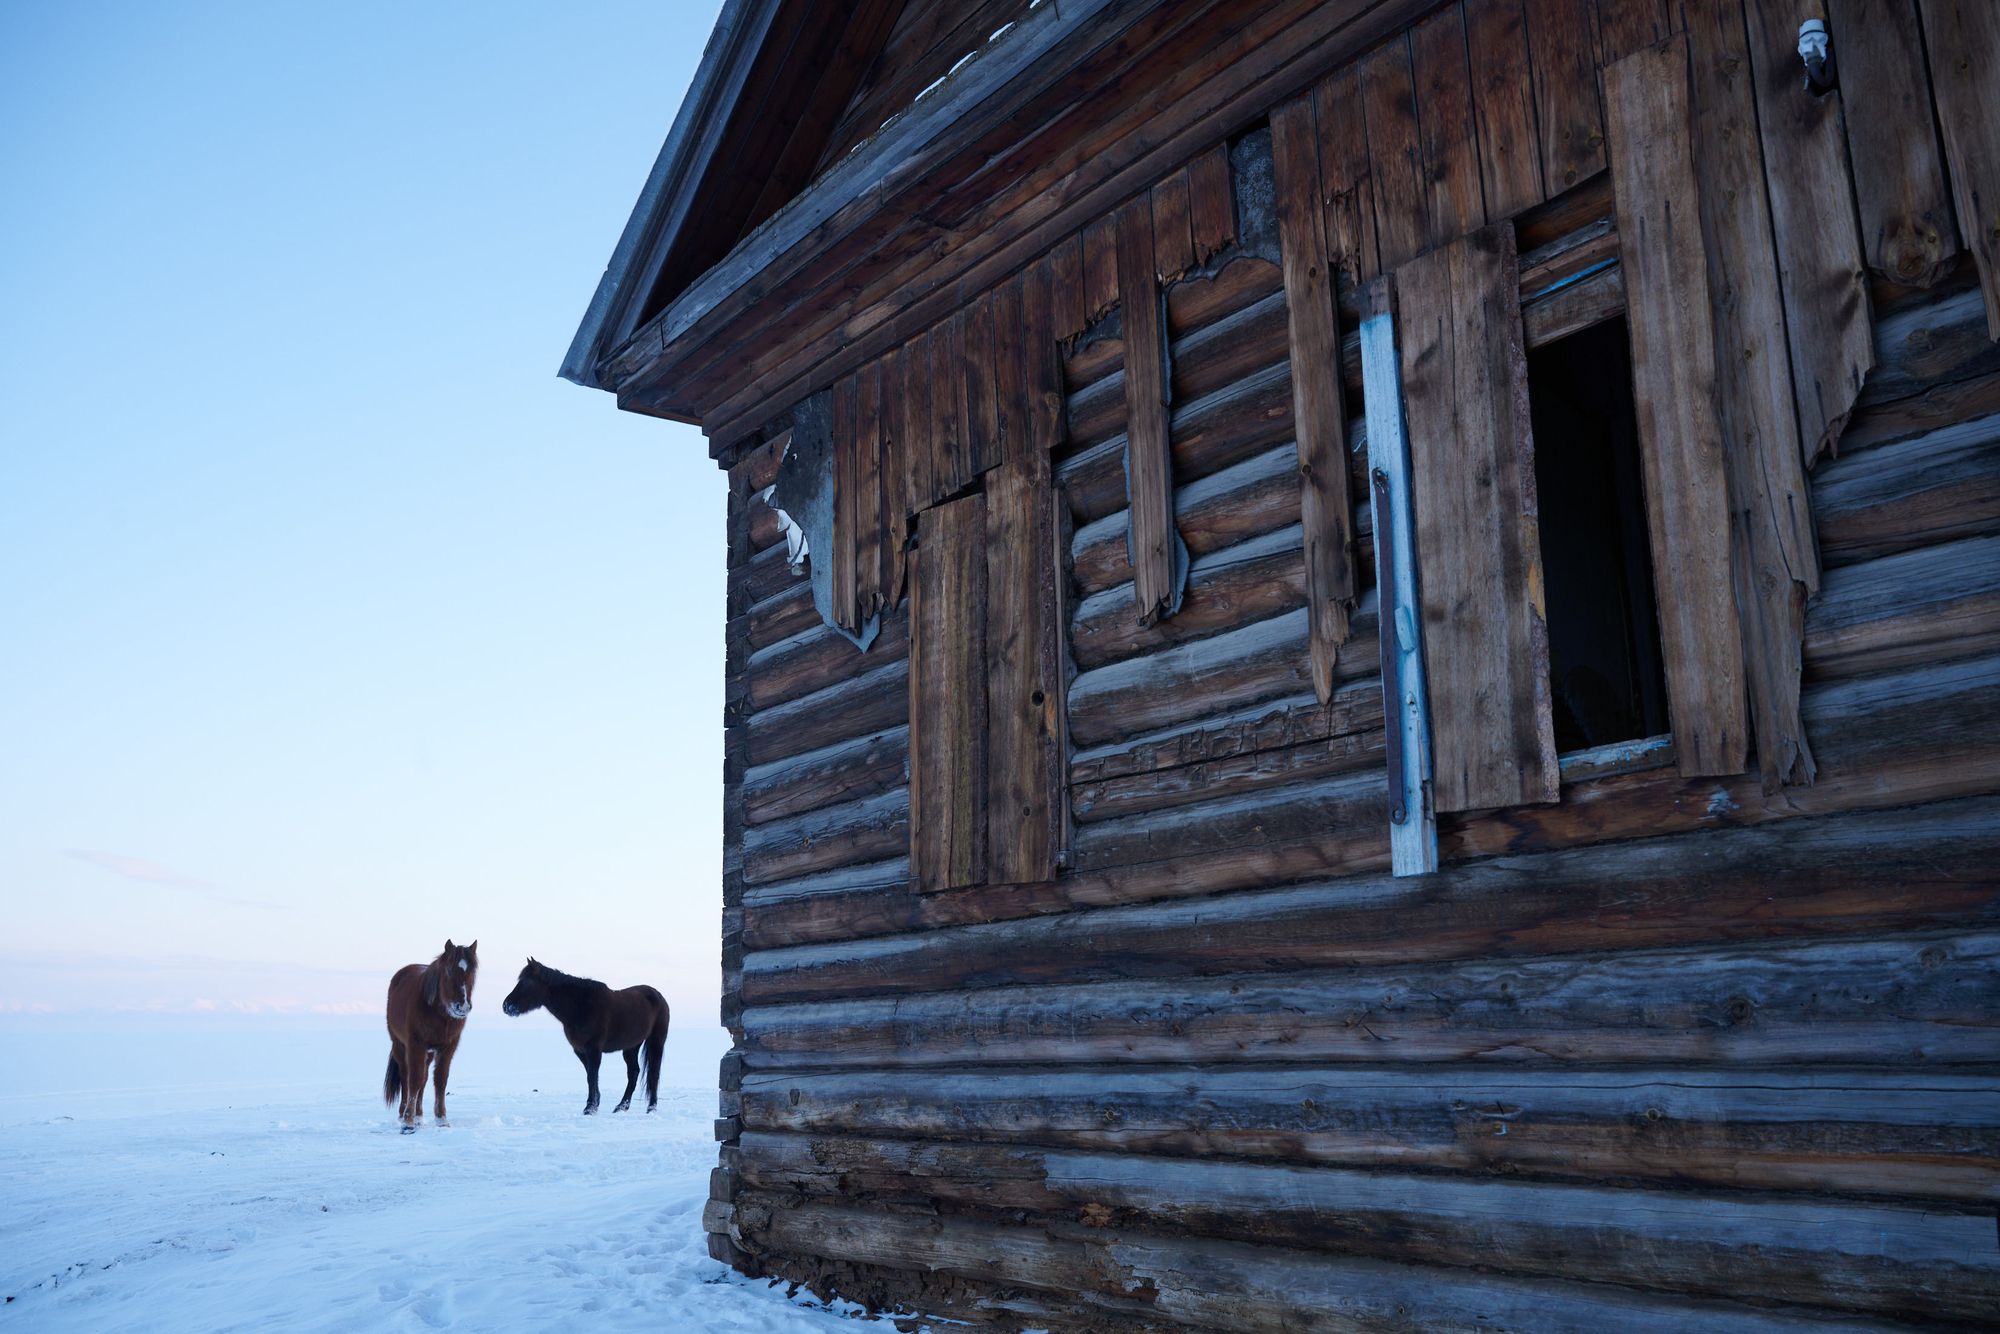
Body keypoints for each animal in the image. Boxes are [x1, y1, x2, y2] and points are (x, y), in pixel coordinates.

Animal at [382, 940, 476, 1136]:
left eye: (471, 972)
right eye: (448, 970)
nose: (462, 1006)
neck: (438, 1011)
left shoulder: (448, 1047)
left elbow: (440, 1080)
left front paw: (442, 1120)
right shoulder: (415, 1045)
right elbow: (413, 1080)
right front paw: (407, 1122)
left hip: (429, 1052)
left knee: (424, 1079)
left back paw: (419, 1116)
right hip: (400, 1046)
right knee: (406, 1077)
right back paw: (404, 1114)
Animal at [500, 960, 672, 1120]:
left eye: (526, 982)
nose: (506, 1006)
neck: (581, 1007)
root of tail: (658, 996)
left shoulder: (594, 1049)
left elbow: (591, 1077)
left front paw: (589, 1108)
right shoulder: (580, 1050)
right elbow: (590, 1075)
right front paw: (595, 1103)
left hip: (656, 1041)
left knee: (653, 1074)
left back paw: (651, 1108)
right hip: (631, 1046)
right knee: (634, 1072)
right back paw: (621, 1106)